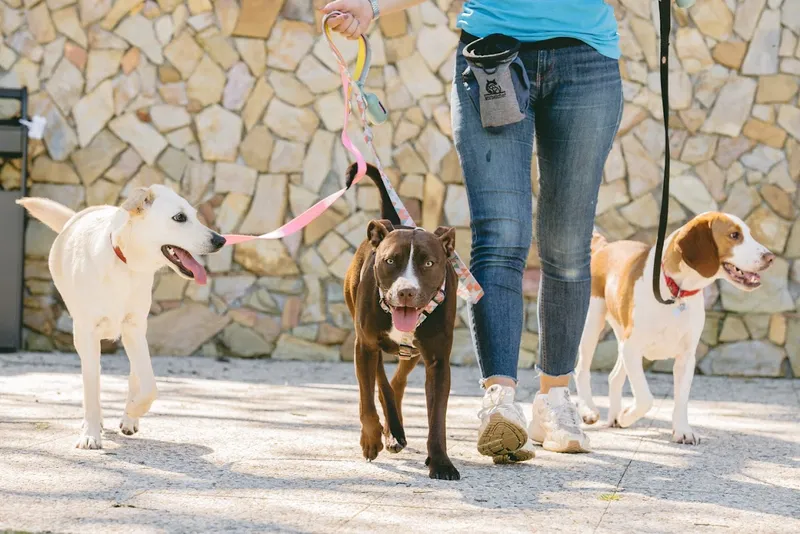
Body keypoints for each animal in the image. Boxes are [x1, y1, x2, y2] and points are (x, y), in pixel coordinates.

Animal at [18, 186, 225, 450]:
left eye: (196, 216)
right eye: (179, 217)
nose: (221, 240)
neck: (125, 265)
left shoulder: (134, 329)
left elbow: (149, 387)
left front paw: (133, 411)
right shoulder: (87, 334)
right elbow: (92, 388)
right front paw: (90, 433)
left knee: (135, 376)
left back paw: (129, 419)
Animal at [342, 162, 460, 482]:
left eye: (429, 262)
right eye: (391, 261)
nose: (406, 291)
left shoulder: (438, 362)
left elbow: (438, 418)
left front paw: (441, 462)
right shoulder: (364, 346)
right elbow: (366, 401)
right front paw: (371, 438)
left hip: (415, 353)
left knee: (396, 381)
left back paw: (395, 430)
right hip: (368, 341)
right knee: (381, 383)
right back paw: (390, 431)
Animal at [576, 211, 776, 446]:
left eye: (749, 233)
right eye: (734, 235)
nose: (770, 257)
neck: (676, 292)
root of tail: (605, 247)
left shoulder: (685, 358)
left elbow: (681, 399)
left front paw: (682, 431)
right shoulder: (632, 349)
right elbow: (646, 398)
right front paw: (626, 416)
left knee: (614, 377)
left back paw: (614, 415)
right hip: (591, 325)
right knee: (581, 369)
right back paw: (589, 410)